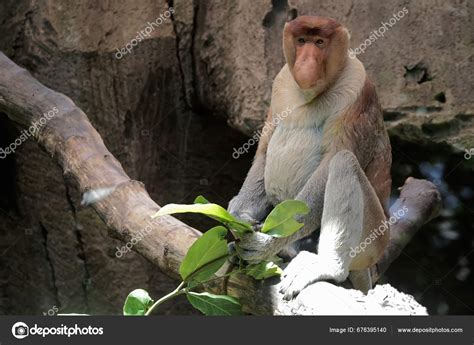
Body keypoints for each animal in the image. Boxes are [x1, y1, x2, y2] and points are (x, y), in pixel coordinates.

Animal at [228, 15, 390, 298]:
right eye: (301, 40)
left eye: (320, 42)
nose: (306, 62)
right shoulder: (280, 82)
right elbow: (263, 152)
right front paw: (238, 215)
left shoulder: (356, 90)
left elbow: (329, 166)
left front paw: (264, 243)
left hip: (374, 240)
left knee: (344, 162)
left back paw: (325, 264)